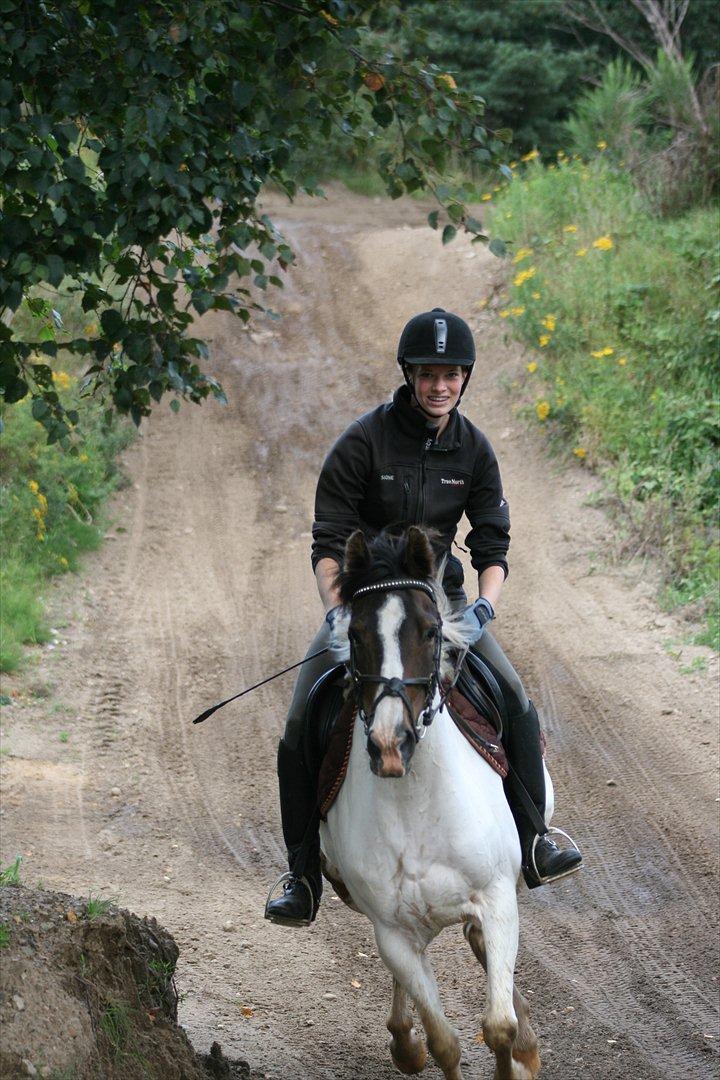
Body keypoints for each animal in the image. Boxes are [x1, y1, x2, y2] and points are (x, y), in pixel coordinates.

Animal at [321, 529, 546, 1080]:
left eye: (429, 631)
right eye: (355, 634)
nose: (389, 743)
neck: (416, 801)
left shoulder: (497, 897)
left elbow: (498, 1027)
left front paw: (519, 1055)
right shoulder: (393, 932)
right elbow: (444, 1040)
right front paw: (416, 1044)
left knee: (481, 945)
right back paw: (404, 1041)